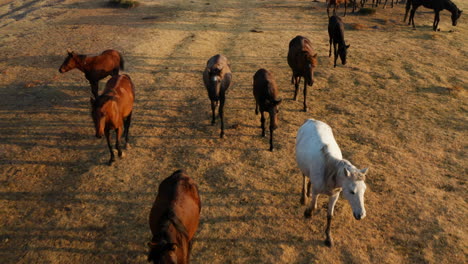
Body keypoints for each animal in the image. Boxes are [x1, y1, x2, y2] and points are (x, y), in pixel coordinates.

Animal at [296, 119, 370, 248]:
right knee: (304, 177)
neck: (329, 169)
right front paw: (308, 213)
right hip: (302, 167)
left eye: (364, 190)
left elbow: (330, 215)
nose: (361, 215)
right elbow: (313, 205)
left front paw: (328, 238)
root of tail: (311, 120)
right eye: (352, 191)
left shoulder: (334, 195)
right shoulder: (316, 191)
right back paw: (304, 197)